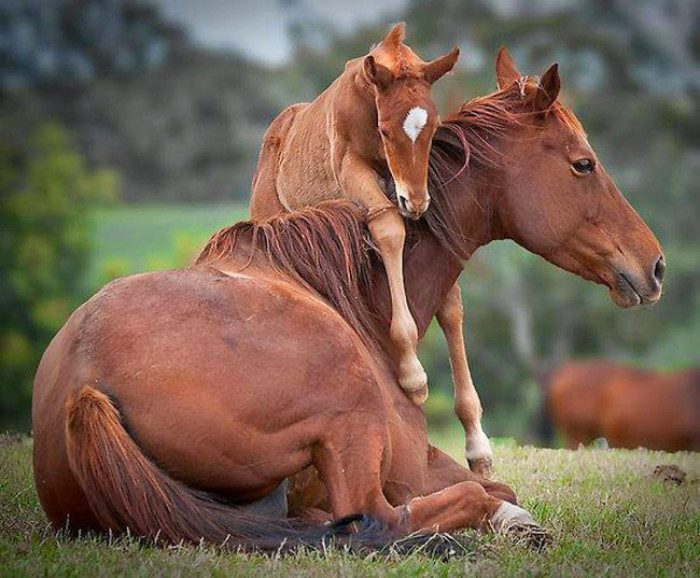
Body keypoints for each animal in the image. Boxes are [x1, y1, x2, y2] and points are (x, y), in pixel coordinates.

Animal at [250, 22, 460, 400]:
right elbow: (389, 227)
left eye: (433, 127)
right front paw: (413, 375)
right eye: (385, 130)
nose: (415, 202)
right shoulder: (351, 168)